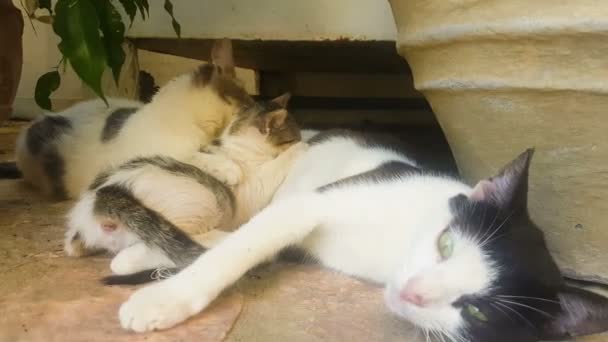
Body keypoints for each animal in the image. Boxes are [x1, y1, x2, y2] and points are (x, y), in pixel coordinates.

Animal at [63, 94, 304, 276]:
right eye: (293, 138)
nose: (301, 140)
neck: (239, 144)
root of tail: (101, 197)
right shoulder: (255, 187)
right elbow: (276, 167)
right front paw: (303, 147)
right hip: (201, 201)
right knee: (135, 256)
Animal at [114, 129, 608, 342]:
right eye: (446, 244)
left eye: (478, 313)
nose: (412, 293)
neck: (391, 250)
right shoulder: (311, 203)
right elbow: (244, 244)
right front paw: (165, 299)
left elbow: (252, 246)